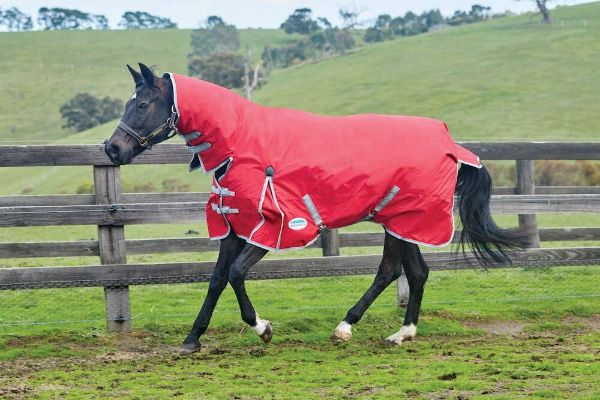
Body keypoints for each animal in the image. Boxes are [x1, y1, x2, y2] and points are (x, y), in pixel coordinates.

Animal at [103, 64, 520, 354]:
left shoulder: (273, 227)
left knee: (392, 271)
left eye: (143, 104)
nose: (112, 149)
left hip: (406, 222)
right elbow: (218, 279)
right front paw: (192, 339)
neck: (242, 144)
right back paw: (399, 333)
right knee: (411, 272)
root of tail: (450, 142)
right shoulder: (235, 226)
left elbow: (236, 274)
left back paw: (347, 328)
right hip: (398, 222)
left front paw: (263, 328)